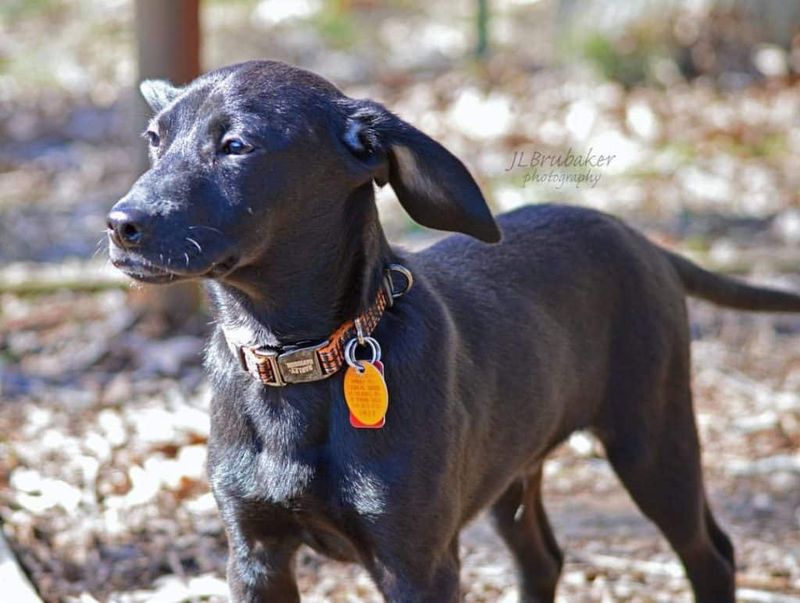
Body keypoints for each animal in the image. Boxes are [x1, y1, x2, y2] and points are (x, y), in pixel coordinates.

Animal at [106, 59, 800, 600]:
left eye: (238, 146)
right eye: (153, 138)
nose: (121, 225)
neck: (302, 359)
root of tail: (647, 245)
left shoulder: (417, 563)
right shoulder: (254, 554)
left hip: (652, 439)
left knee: (712, 555)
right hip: (516, 466)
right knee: (544, 559)